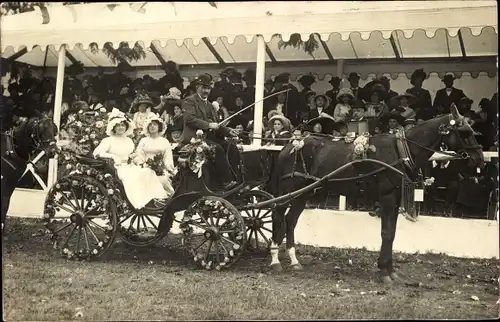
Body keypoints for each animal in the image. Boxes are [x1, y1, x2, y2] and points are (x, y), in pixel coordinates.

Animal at [266, 104, 484, 284]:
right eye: (464, 132)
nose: (479, 160)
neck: (400, 151)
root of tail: (290, 145)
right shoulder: (387, 197)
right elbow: (386, 233)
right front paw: (385, 273)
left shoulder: (395, 200)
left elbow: (392, 233)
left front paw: (390, 270)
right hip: (289, 190)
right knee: (277, 215)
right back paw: (275, 260)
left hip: (303, 193)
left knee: (291, 220)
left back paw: (294, 260)